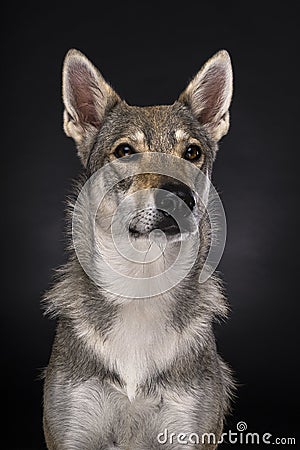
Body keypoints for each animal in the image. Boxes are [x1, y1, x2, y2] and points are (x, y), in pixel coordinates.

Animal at [42, 49, 234, 450]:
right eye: (125, 151)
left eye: (192, 152)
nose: (179, 196)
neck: (143, 283)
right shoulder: (72, 434)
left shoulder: (187, 432)